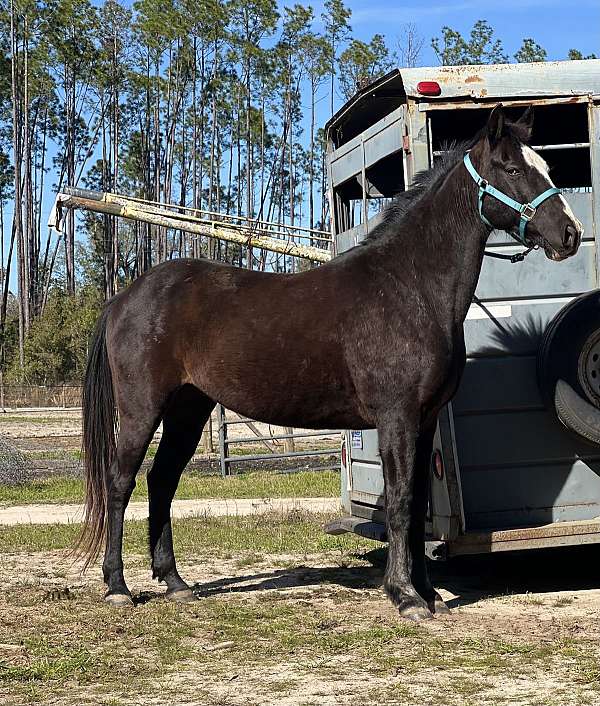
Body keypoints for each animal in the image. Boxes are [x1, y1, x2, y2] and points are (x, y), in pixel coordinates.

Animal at [78, 104, 580, 616]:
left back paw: (175, 582)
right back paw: (117, 586)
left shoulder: (424, 421)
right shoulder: (397, 417)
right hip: (142, 409)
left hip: (188, 408)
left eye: (547, 166)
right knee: (121, 482)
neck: (409, 286)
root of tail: (125, 298)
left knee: (162, 481)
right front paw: (404, 596)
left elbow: (417, 502)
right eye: (513, 169)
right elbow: (400, 502)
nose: (570, 233)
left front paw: (427, 593)